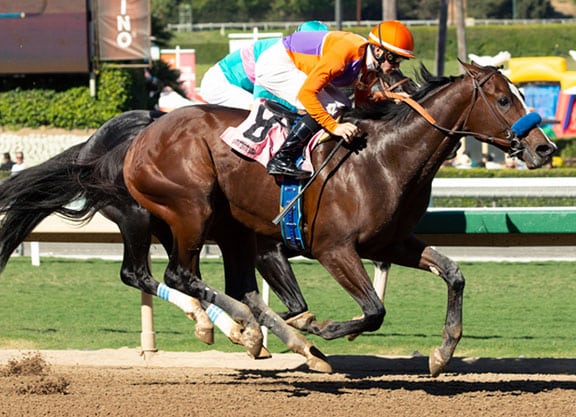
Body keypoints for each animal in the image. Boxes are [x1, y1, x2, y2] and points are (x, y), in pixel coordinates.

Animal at [124, 62, 556, 376]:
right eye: (504, 99)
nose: (544, 148)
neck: (384, 159)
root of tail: (146, 131)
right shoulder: (333, 250)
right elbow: (374, 310)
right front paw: (324, 328)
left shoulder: (390, 242)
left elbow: (453, 273)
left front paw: (442, 353)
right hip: (191, 210)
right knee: (180, 275)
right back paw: (248, 327)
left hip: (231, 229)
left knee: (235, 285)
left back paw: (263, 334)